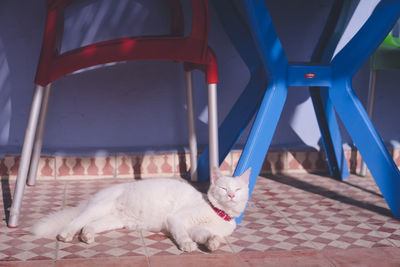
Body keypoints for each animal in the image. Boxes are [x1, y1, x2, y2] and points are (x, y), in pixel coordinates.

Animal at [31, 168, 250, 253]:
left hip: (113, 220)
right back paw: (66, 234)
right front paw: (187, 245)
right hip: (99, 207)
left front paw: (213, 242)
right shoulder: (176, 219)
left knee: (89, 225)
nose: (231, 195)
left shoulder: (197, 229)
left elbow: (205, 234)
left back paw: (87, 236)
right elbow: (181, 234)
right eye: (224, 188)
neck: (218, 214)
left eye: (238, 190)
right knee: (77, 220)